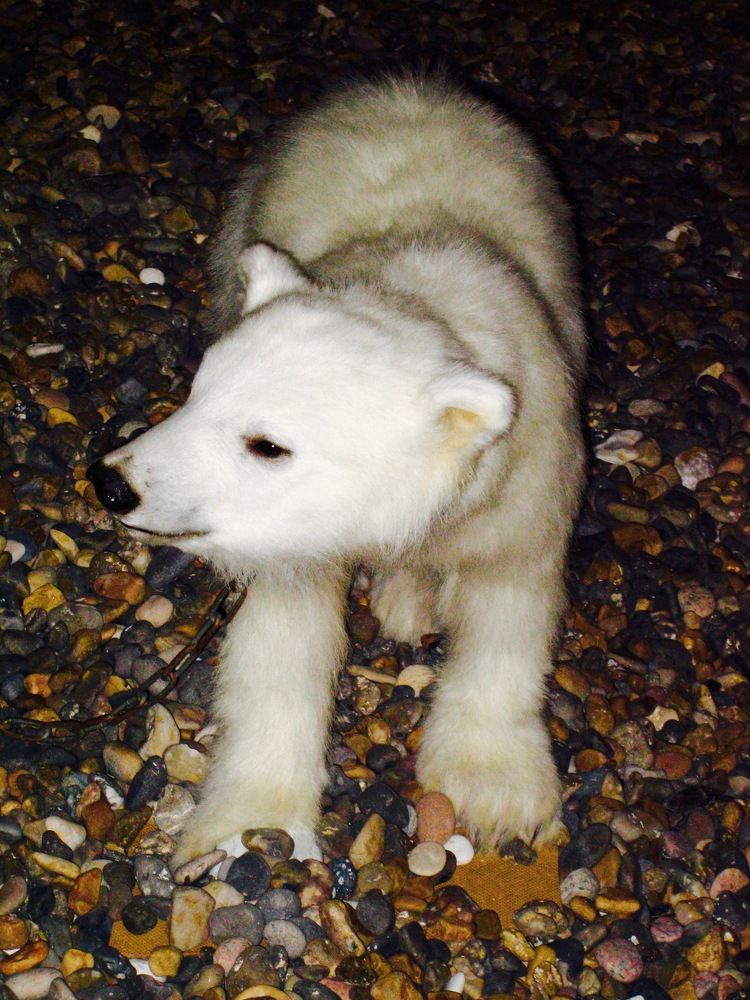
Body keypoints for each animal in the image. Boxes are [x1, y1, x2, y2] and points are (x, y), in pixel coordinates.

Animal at [88, 75, 586, 866]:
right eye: (196, 392)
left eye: (267, 444)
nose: (114, 483)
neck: (419, 298)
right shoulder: (292, 544)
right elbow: (283, 645)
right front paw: (250, 828)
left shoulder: (526, 470)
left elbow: (510, 601)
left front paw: (495, 791)